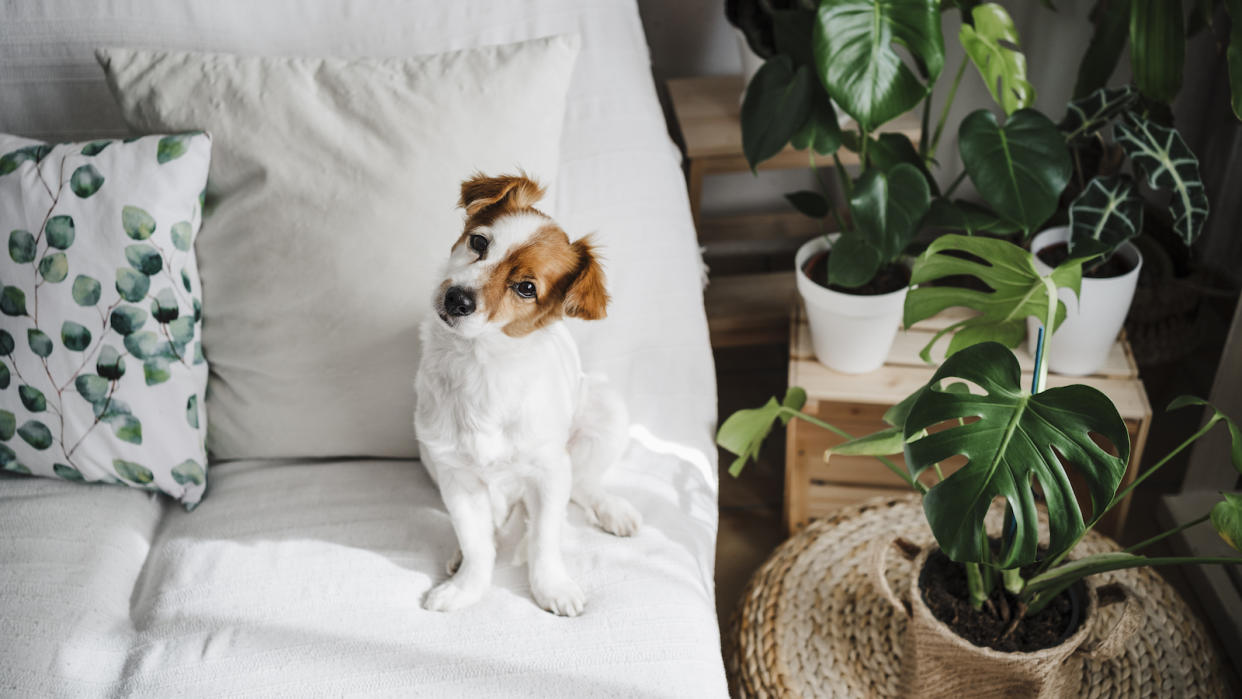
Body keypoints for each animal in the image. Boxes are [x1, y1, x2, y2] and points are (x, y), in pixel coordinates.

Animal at [417, 172, 645, 615]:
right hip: (428, 455)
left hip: (606, 412)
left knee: (585, 484)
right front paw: (466, 587)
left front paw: (551, 587)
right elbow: (477, 542)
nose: (457, 298)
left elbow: (543, 540)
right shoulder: (455, 475)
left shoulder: (548, 472)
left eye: (525, 287)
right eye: (479, 243)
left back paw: (611, 509)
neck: (481, 366)